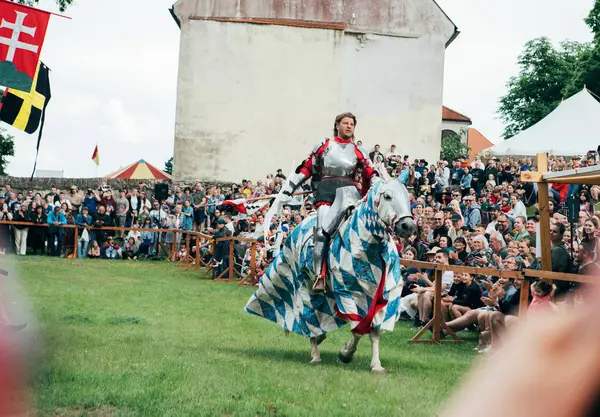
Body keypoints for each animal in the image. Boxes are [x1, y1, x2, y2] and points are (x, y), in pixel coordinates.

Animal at [246, 177, 414, 372]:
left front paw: (376, 365)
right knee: (309, 317)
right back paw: (315, 353)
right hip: (306, 287)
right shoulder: (349, 294)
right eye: (387, 196)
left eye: (406, 195)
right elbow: (358, 329)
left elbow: (374, 331)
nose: (408, 226)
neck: (366, 245)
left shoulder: (381, 296)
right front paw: (345, 353)